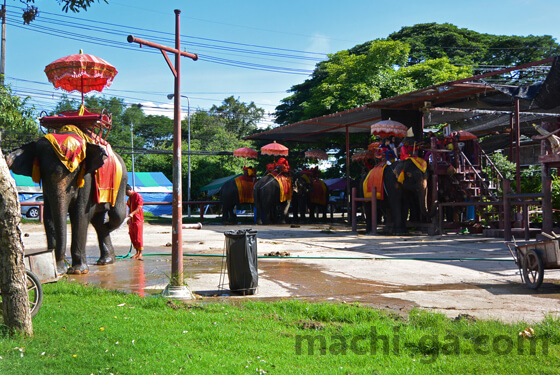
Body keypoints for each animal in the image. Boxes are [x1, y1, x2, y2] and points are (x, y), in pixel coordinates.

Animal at [7, 127, 127, 276]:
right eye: (42, 172)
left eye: (75, 172)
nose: (60, 260)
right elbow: (49, 216)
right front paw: (59, 271)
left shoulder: (87, 179)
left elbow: (80, 215)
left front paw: (78, 271)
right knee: (98, 221)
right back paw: (105, 259)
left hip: (121, 182)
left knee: (117, 216)